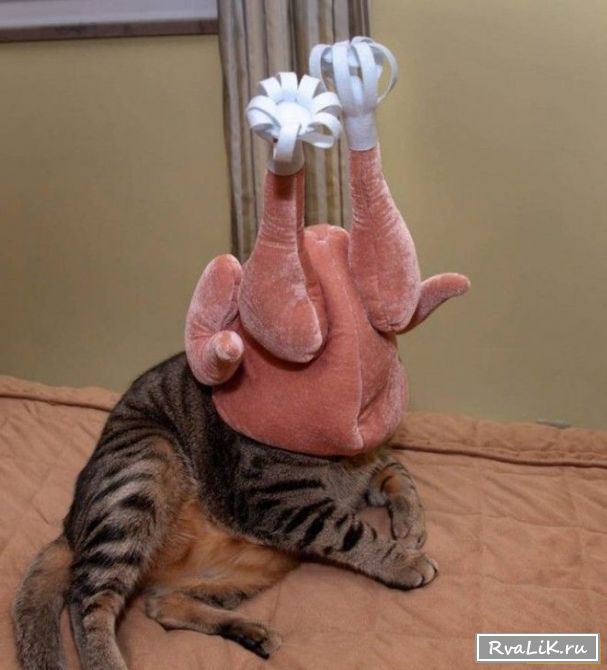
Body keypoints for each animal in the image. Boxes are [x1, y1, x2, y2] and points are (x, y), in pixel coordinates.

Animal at [12, 352, 435, 670]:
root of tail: (69, 526)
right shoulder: (277, 501)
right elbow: (352, 531)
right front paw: (403, 560)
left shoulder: (372, 468)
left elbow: (400, 476)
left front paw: (411, 526)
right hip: (143, 477)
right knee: (86, 601)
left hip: (253, 568)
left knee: (161, 604)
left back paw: (252, 632)